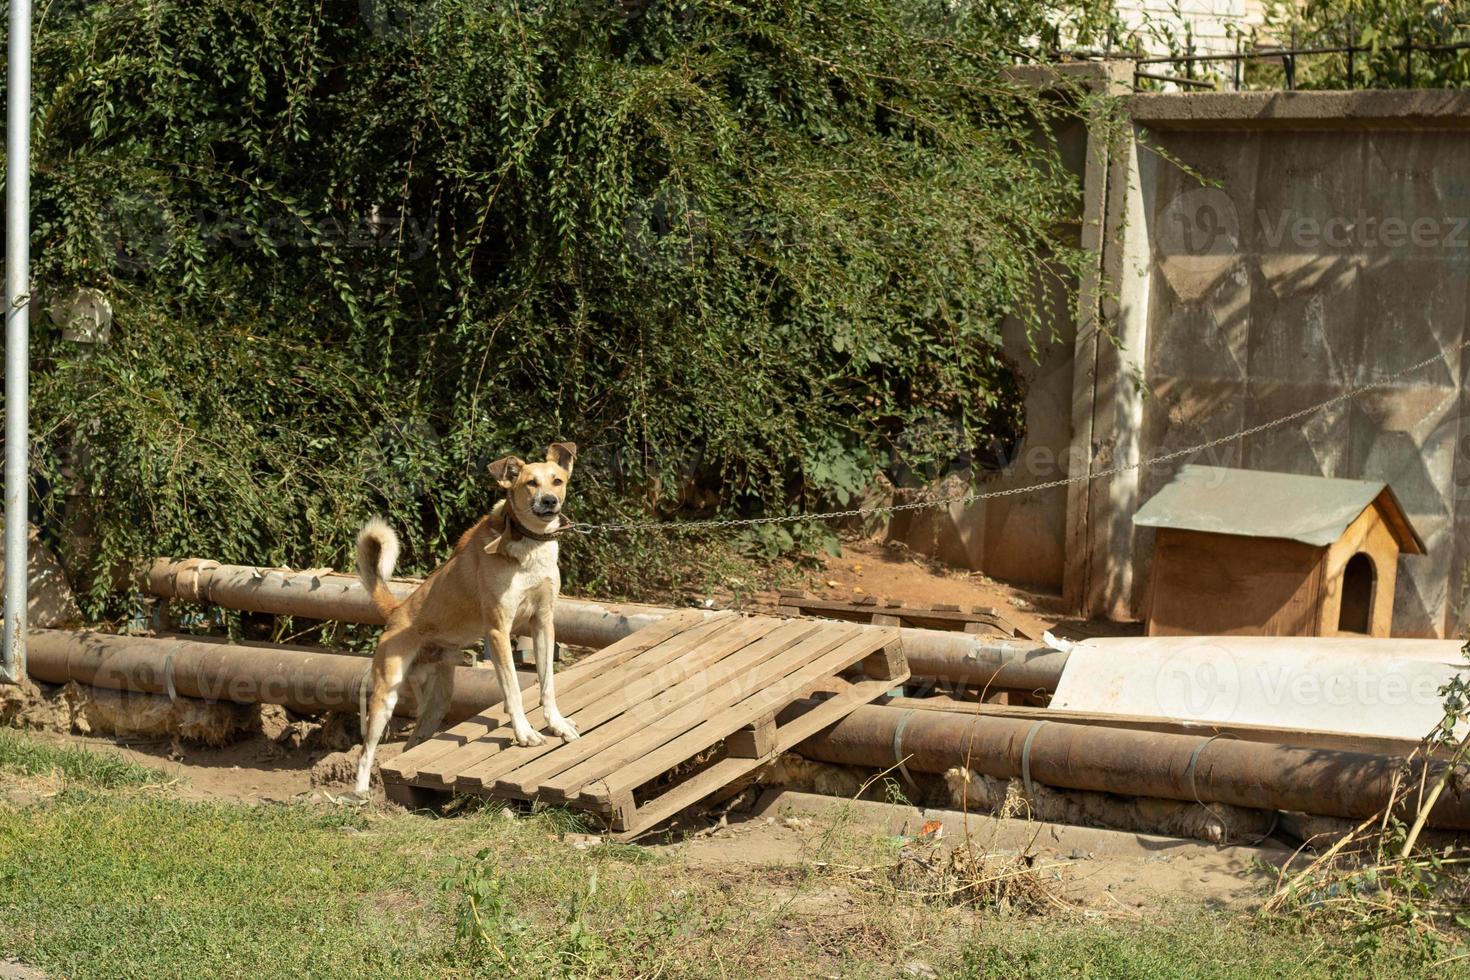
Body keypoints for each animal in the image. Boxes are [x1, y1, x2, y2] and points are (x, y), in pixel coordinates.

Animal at [354, 443, 579, 799]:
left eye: (557, 481)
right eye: (530, 482)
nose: (549, 502)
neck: (530, 545)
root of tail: (397, 611)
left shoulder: (543, 623)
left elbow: (547, 685)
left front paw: (557, 724)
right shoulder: (498, 631)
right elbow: (514, 690)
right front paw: (525, 734)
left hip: (438, 702)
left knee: (411, 746)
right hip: (385, 696)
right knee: (366, 751)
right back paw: (361, 792)